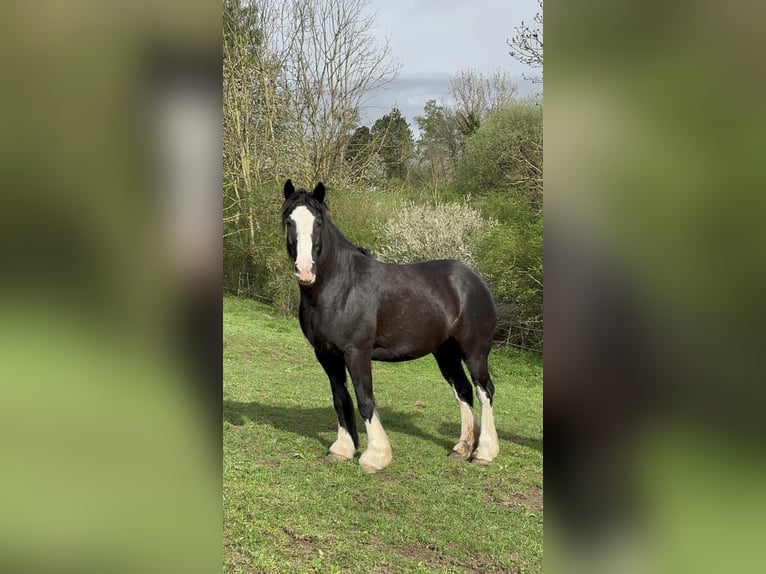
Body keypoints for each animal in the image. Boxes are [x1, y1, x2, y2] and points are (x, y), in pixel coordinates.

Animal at [282, 180, 498, 472]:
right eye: (289, 221)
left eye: (318, 223)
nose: (305, 270)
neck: (340, 286)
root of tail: (475, 280)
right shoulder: (326, 355)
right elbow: (340, 398)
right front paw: (342, 449)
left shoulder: (357, 353)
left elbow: (365, 399)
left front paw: (375, 456)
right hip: (446, 353)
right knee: (463, 391)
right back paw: (461, 449)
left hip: (474, 352)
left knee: (484, 391)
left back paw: (484, 452)